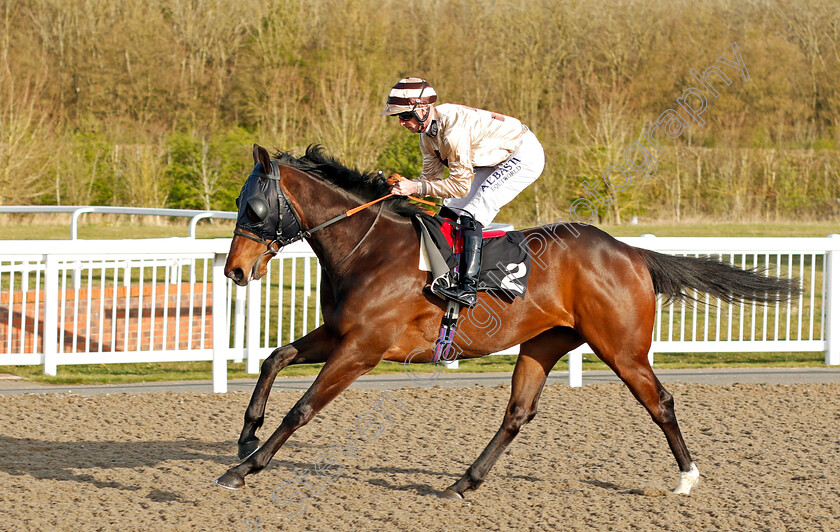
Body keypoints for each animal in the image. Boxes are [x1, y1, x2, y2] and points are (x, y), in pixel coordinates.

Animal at [213, 143, 796, 496]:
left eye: (253, 208)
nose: (235, 270)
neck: (369, 249)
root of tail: (630, 252)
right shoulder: (339, 334)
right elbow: (274, 358)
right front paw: (246, 436)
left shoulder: (363, 348)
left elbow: (303, 409)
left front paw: (244, 468)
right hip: (544, 342)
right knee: (518, 412)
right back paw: (463, 482)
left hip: (622, 348)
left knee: (661, 402)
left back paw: (687, 478)